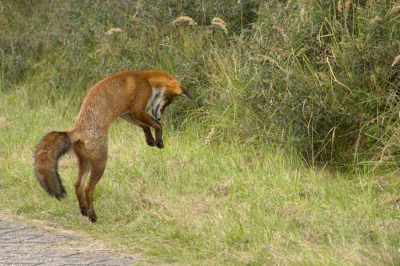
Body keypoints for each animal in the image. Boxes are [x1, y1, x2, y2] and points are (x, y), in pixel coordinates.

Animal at [33, 70, 193, 222]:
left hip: (86, 163)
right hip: (100, 163)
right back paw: (92, 215)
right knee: (87, 189)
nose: (160, 116)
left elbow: (145, 126)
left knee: (77, 185)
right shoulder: (138, 109)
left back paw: (84, 210)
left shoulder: (127, 114)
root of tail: (76, 131)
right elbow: (157, 126)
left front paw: (150, 140)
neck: (145, 79)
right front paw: (159, 141)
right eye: (168, 101)